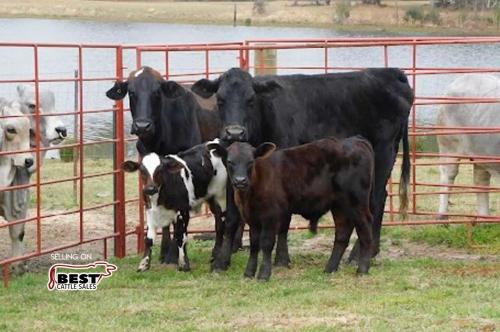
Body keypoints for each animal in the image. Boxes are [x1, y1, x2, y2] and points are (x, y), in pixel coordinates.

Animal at [122, 143, 227, 272]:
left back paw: (217, 255)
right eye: (142, 170)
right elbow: (149, 239)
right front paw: (144, 264)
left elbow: (181, 236)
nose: (150, 189)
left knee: (221, 225)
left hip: (221, 197)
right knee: (217, 222)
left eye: (160, 170)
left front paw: (184, 264)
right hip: (211, 199)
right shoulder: (150, 211)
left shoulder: (183, 211)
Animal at [208, 136, 376, 282]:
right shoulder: (252, 218)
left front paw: (264, 274)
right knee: (342, 233)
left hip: (357, 201)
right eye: (230, 161)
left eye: (251, 161)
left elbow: (266, 243)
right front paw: (249, 273)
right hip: (339, 205)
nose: (240, 181)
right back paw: (330, 268)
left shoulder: (271, 216)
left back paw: (362, 269)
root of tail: (356, 140)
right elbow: (254, 245)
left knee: (365, 229)